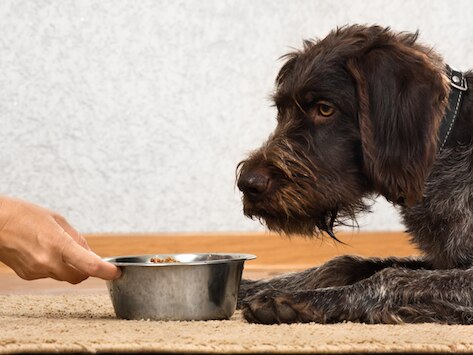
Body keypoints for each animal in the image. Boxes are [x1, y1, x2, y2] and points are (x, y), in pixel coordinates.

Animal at [236, 25, 472, 326]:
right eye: (281, 110)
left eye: (325, 109)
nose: (247, 184)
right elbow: (345, 263)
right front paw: (247, 286)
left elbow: (391, 277)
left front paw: (304, 300)